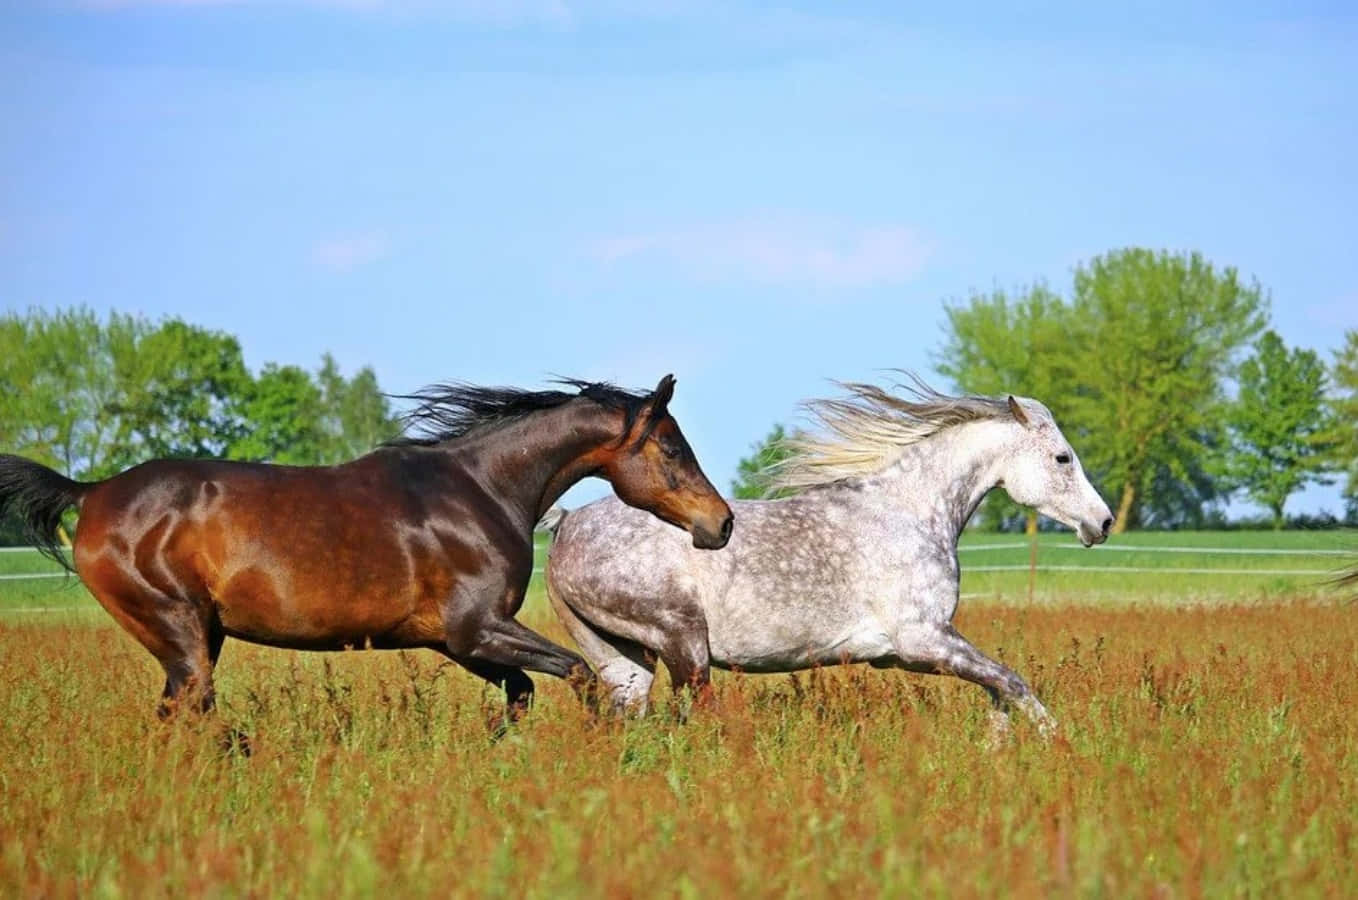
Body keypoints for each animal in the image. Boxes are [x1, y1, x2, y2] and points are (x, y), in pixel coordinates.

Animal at [0, 375, 733, 732]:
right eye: (673, 448)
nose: (720, 524)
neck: (482, 489)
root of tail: (92, 493)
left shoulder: (453, 641)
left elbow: (522, 692)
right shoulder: (478, 629)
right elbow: (579, 674)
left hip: (198, 638)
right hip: (179, 631)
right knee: (193, 713)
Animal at [543, 378, 1112, 733]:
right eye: (1063, 458)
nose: (1102, 522)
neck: (909, 511)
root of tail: (566, 522)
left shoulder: (907, 652)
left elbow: (999, 689)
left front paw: (997, 747)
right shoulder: (923, 640)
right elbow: (1012, 682)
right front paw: (1055, 746)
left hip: (624, 658)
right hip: (683, 642)